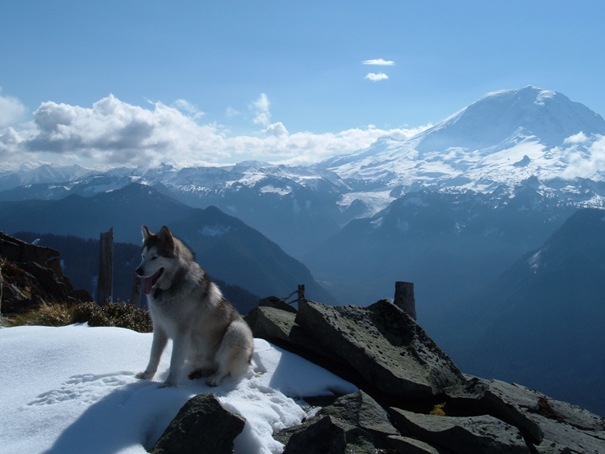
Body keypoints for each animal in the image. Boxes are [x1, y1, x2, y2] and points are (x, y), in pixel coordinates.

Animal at [134, 225, 252, 388]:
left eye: (155, 257)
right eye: (143, 256)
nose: (138, 271)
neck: (172, 287)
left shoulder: (182, 334)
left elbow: (174, 362)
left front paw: (169, 385)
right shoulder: (159, 328)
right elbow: (154, 355)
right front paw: (147, 375)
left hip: (236, 331)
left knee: (224, 369)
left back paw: (214, 378)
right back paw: (197, 372)